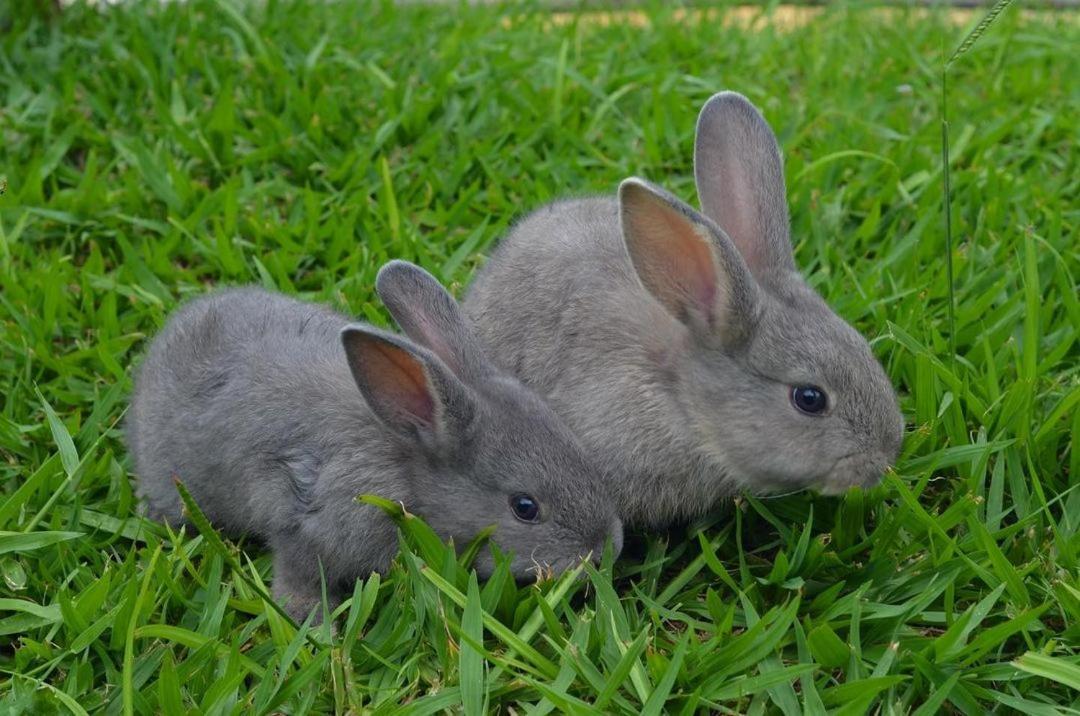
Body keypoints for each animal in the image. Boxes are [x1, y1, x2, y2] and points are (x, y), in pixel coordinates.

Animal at [128, 260, 626, 617]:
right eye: (525, 508)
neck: (408, 465)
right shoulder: (302, 518)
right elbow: (298, 570)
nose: (608, 547)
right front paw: (313, 622)